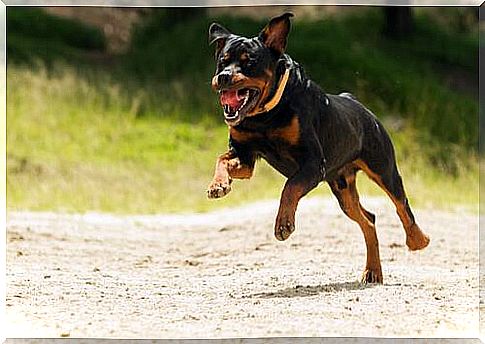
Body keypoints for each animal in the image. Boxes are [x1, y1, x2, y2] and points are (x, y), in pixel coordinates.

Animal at [206, 12, 430, 282]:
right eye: (222, 61)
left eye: (249, 62)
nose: (223, 77)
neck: (266, 115)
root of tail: (361, 107)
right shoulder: (245, 155)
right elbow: (221, 159)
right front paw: (218, 185)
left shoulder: (313, 163)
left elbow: (290, 187)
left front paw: (284, 224)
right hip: (343, 190)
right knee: (369, 219)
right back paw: (373, 271)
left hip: (383, 168)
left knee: (401, 205)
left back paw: (417, 240)